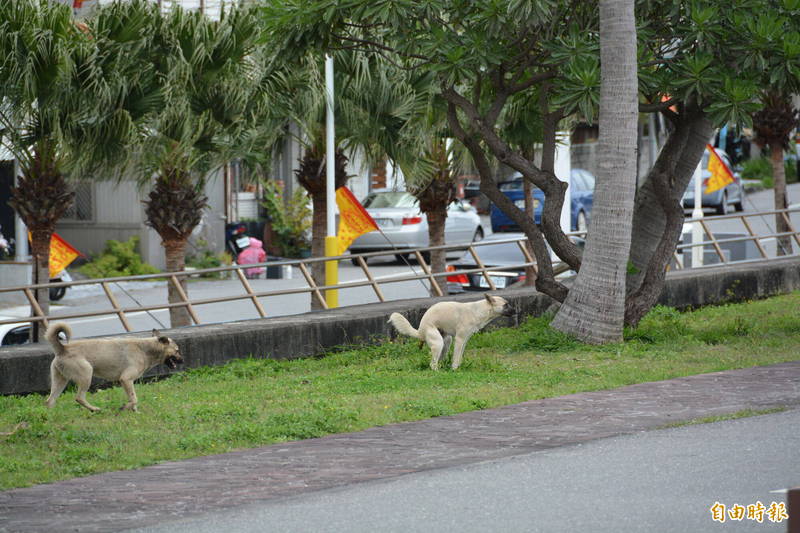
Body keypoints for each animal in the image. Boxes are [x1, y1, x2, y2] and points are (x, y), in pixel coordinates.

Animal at [44, 320, 183, 412]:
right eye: (177, 350)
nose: (182, 360)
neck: (145, 349)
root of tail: (62, 349)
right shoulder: (126, 379)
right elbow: (134, 398)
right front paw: (124, 407)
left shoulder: (127, 382)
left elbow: (132, 398)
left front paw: (134, 411)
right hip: (86, 375)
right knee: (79, 398)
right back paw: (94, 409)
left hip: (60, 380)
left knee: (50, 401)